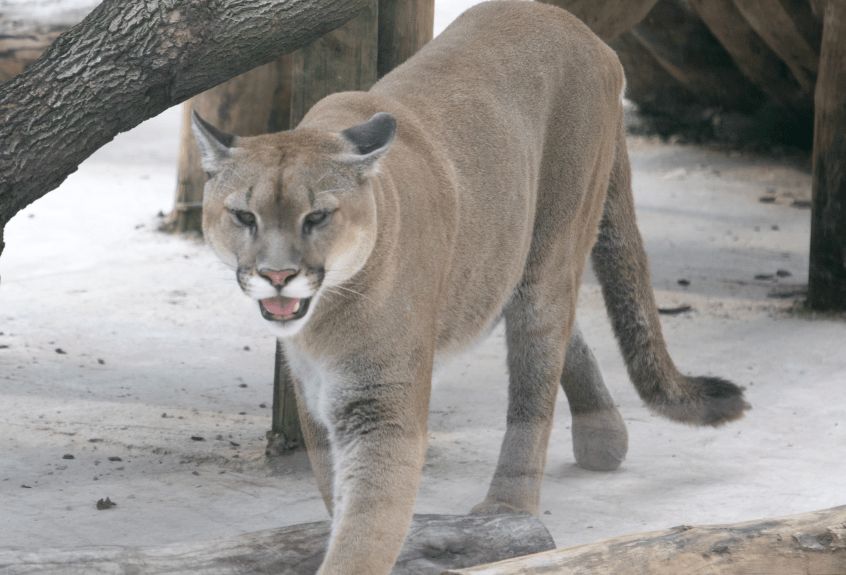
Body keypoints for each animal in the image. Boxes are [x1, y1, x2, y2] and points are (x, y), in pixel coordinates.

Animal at [190, 2, 748, 572]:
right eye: (244, 216)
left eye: (317, 217)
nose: (277, 275)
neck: (323, 320)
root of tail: (579, 28)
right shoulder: (314, 398)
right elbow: (338, 500)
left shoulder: (380, 409)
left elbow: (364, 529)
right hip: (503, 259)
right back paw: (603, 437)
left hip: (551, 249)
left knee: (536, 381)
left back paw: (508, 510)